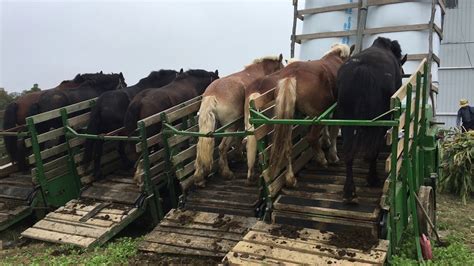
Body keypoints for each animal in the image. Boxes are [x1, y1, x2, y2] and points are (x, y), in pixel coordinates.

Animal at [193, 54, 286, 187]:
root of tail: (213, 94)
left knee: (201, 146)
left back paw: (199, 178)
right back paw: (227, 173)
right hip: (230, 127)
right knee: (222, 148)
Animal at [266, 44, 352, 187]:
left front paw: (326, 142)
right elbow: (334, 132)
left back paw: (290, 177)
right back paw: (322, 159)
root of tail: (292, 74)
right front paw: (333, 155)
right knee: (311, 138)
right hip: (318, 114)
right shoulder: (335, 110)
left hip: (291, 118)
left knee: (288, 145)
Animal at [336, 37, 408, 204]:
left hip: (346, 119)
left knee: (349, 152)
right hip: (380, 120)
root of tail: (362, 68)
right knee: (372, 150)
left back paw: (349, 192)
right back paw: (372, 178)